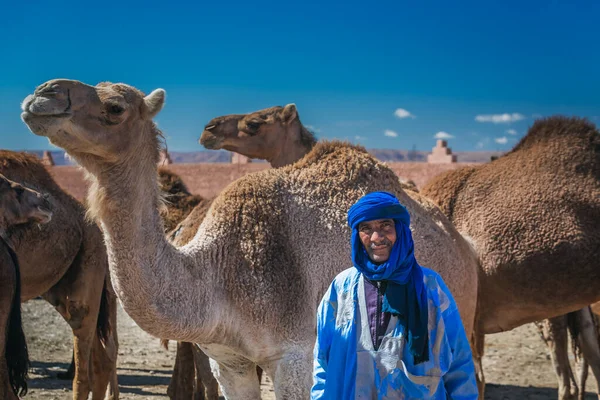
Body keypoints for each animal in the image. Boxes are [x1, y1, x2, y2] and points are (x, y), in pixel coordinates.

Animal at [23, 79, 480, 400]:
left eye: (115, 107)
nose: (42, 95)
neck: (218, 273)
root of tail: (462, 245)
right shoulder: (229, 362)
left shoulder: (296, 356)